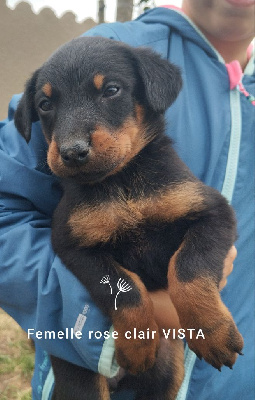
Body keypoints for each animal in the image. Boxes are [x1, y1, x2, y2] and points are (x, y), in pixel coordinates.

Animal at [14, 37, 244, 400]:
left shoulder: (213, 212)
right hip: (80, 381)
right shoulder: (74, 247)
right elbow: (125, 290)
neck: (121, 181)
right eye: (45, 104)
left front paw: (212, 332)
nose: (72, 152)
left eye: (111, 90)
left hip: (170, 372)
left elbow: (189, 267)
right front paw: (136, 345)